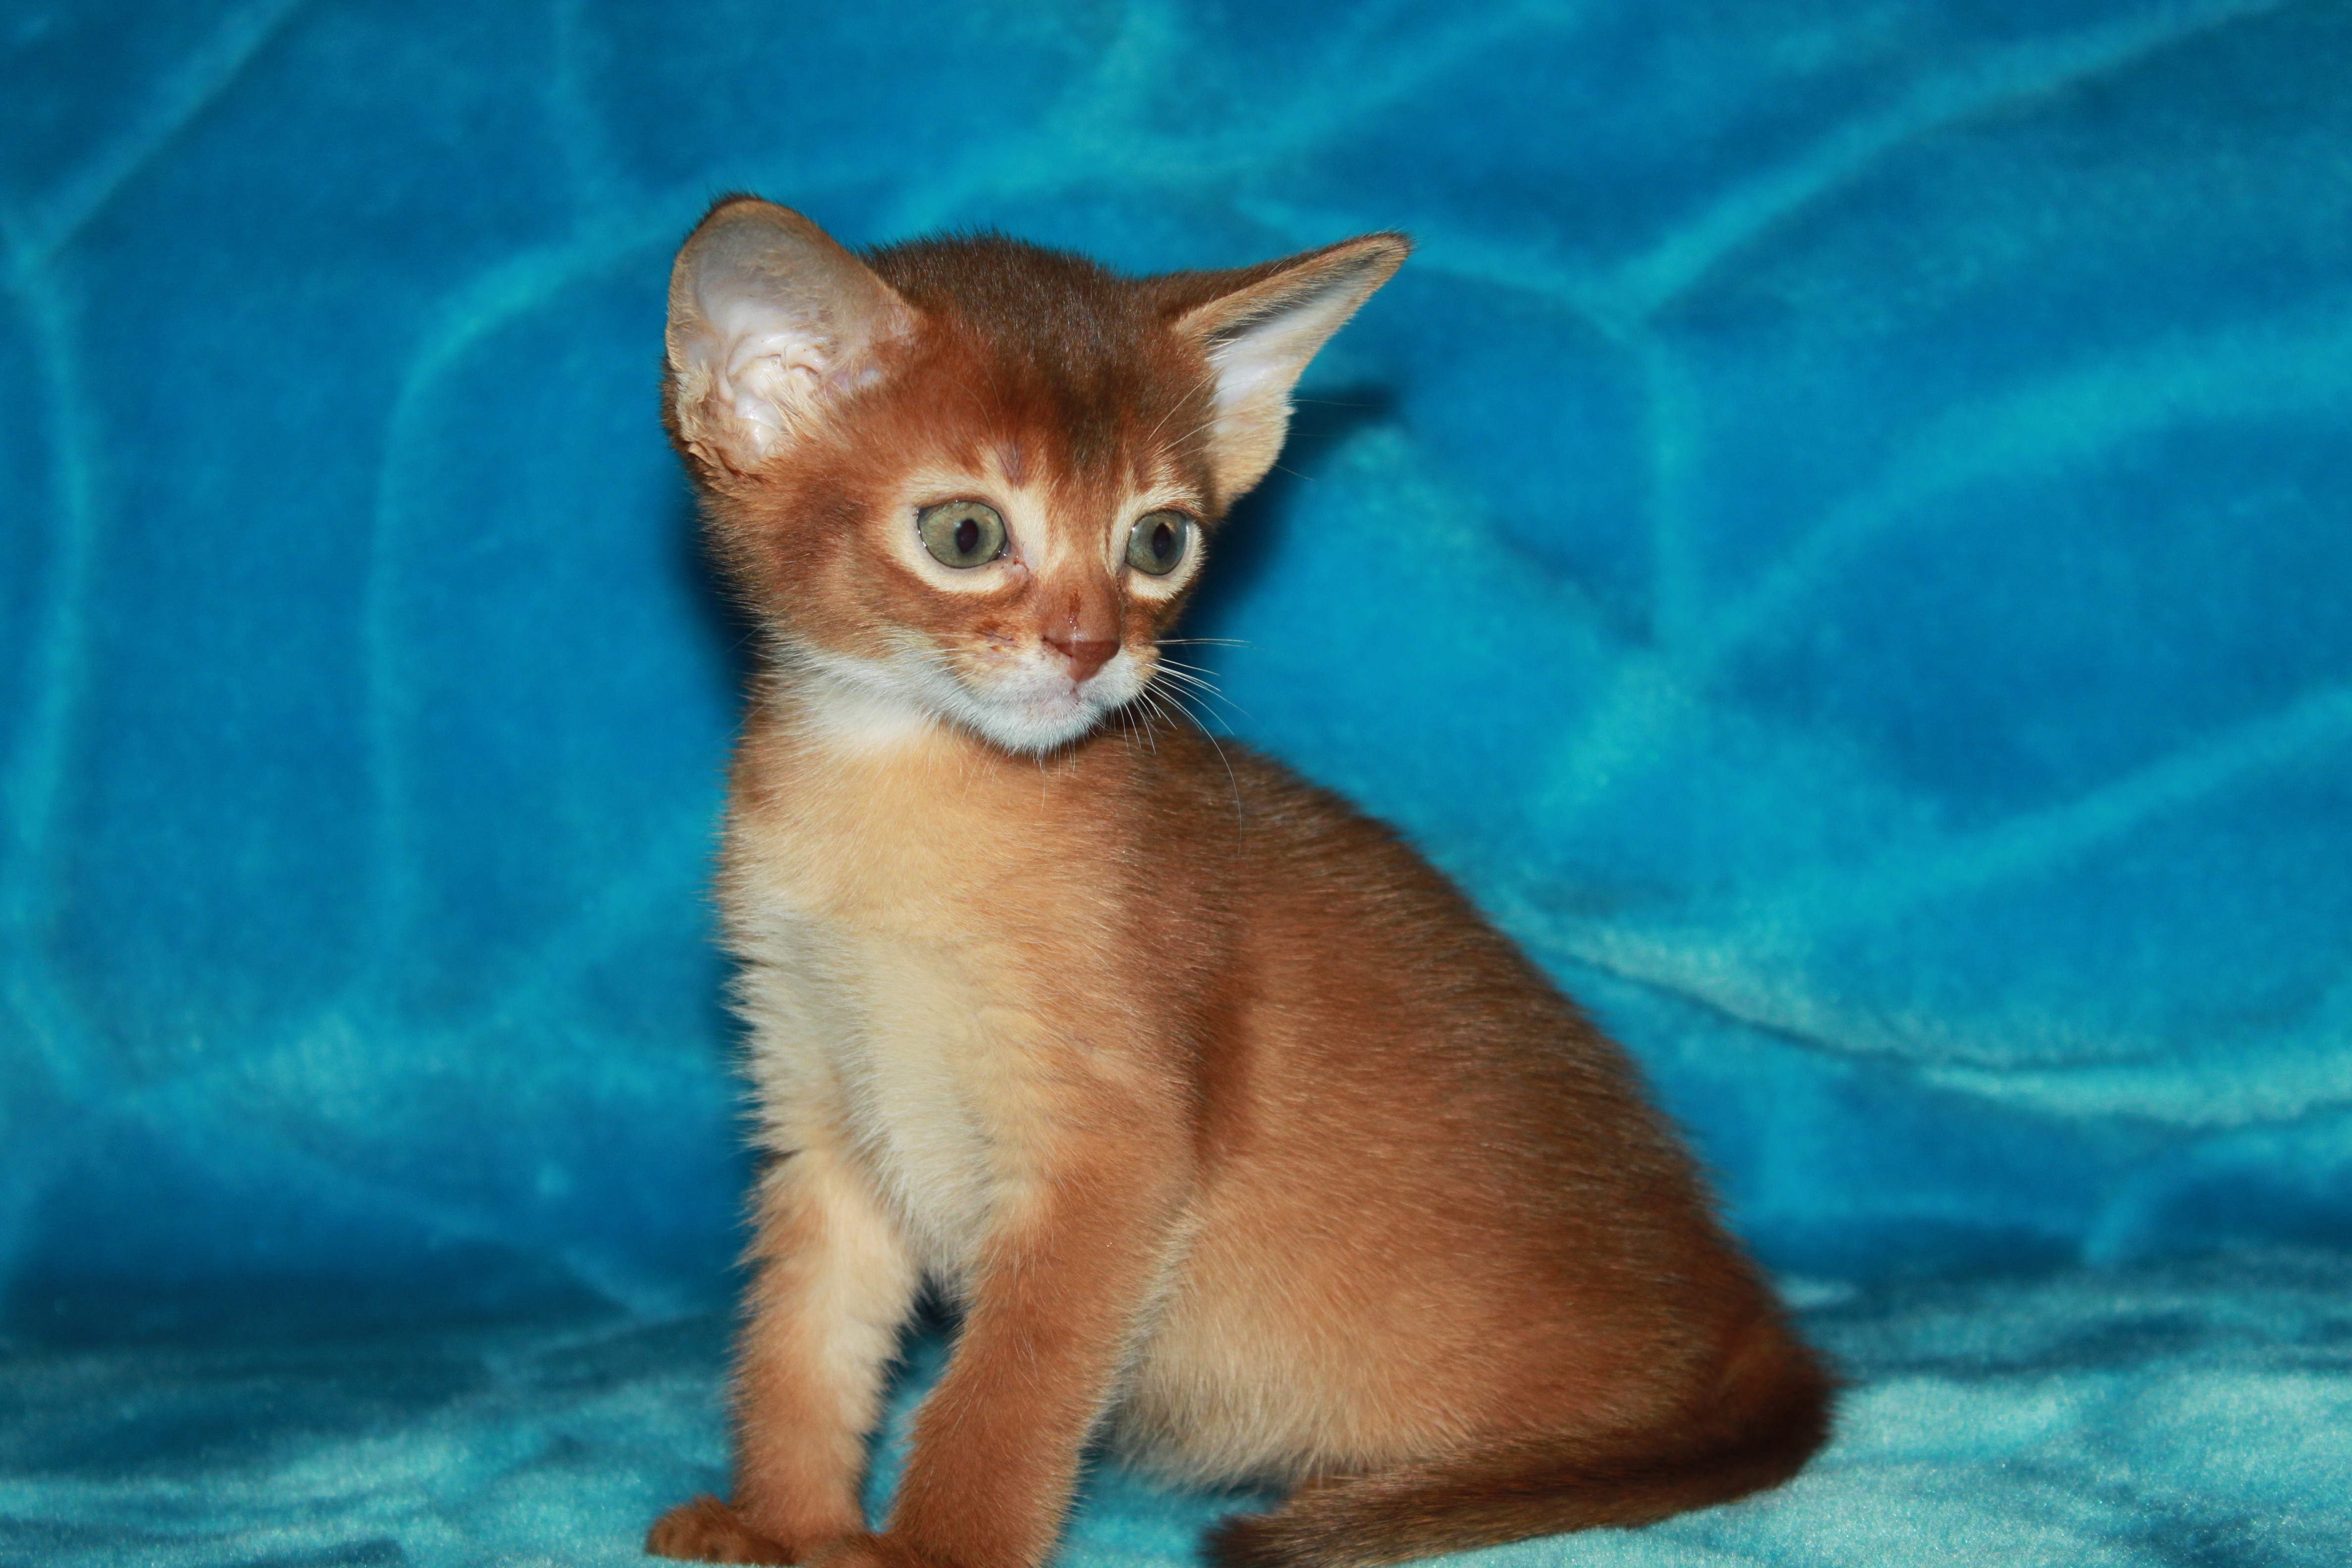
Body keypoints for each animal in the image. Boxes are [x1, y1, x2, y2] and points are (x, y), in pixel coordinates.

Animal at [644, 196, 1831, 1568]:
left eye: (1159, 540)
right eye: (965, 534)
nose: (1091, 648)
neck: (894, 800)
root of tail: (1739, 1296)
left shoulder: (1112, 1153)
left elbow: (1003, 1395)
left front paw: (933, 1551)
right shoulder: (818, 1106)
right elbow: (800, 1346)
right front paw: (779, 1527)